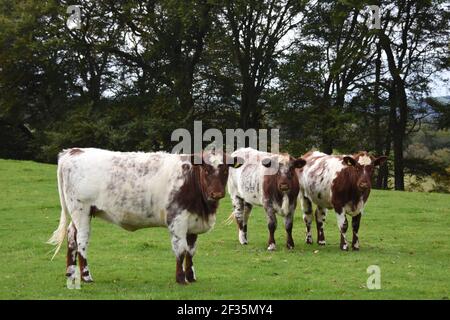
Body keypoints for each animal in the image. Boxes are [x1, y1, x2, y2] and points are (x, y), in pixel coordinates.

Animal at [47, 148, 243, 284]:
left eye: (225, 170)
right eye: (206, 170)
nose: (217, 193)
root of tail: (74, 151)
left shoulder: (193, 223)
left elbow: (191, 251)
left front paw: (191, 276)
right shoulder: (177, 220)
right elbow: (180, 250)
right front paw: (181, 279)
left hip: (79, 213)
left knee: (71, 236)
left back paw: (70, 272)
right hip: (81, 210)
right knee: (81, 240)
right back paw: (86, 276)